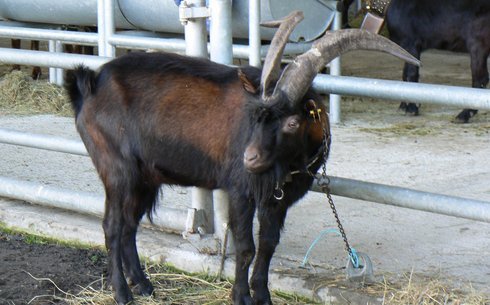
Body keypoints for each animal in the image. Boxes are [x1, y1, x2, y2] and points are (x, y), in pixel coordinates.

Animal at [65, 10, 418, 304]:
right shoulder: (240, 190)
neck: (287, 163)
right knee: (112, 226)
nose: (249, 158)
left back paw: (144, 285)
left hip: (146, 179)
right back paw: (122, 294)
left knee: (128, 226)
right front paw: (241, 297)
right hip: (117, 170)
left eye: (292, 122)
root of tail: (90, 84)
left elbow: (268, 246)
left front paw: (262, 296)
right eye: (256, 116)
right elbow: (246, 248)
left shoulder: (279, 198)